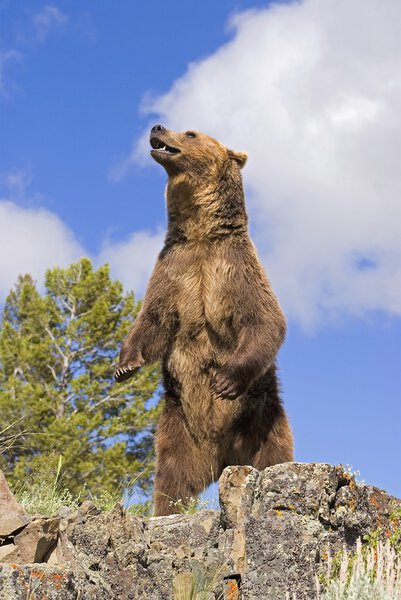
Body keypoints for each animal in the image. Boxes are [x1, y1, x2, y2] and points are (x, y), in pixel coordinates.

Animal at [114, 123, 292, 516]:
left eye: (191, 133)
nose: (157, 127)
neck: (200, 234)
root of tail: (221, 458)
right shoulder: (173, 268)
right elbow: (152, 321)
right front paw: (124, 364)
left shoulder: (235, 269)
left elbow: (265, 321)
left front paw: (224, 380)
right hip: (177, 426)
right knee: (171, 477)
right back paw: (166, 511)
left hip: (262, 419)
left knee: (274, 456)